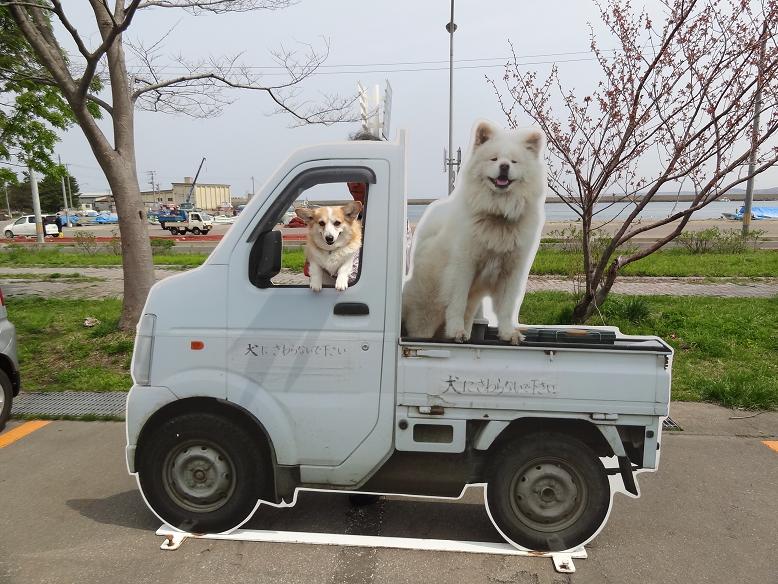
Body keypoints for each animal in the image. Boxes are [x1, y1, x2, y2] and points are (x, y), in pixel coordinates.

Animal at [400, 121, 544, 344]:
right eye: (494, 159)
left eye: (514, 161)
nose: (504, 166)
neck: (498, 214)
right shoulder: (463, 266)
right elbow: (457, 302)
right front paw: (456, 331)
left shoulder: (511, 271)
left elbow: (506, 308)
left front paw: (507, 333)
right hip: (427, 307)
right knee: (421, 326)